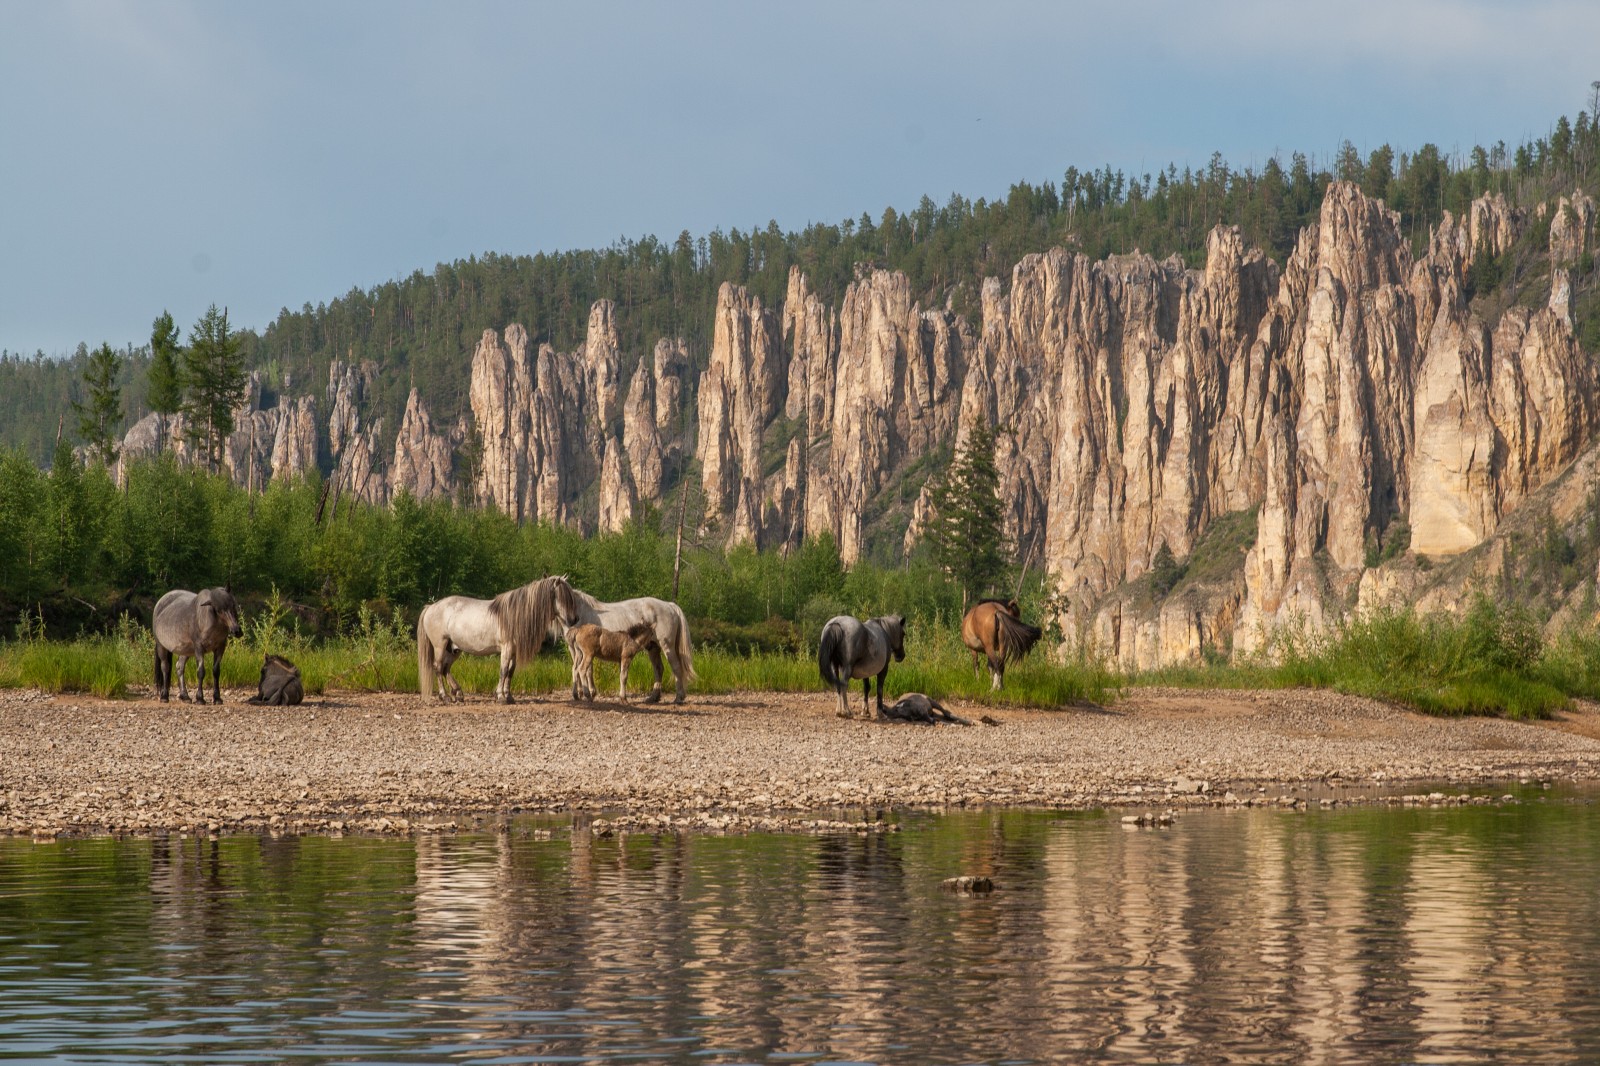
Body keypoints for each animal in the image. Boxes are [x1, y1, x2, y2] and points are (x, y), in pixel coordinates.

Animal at [416, 576, 572, 701]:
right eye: (563, 597)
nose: (572, 620)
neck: (514, 615)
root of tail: (431, 607)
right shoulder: (506, 648)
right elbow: (503, 670)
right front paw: (501, 696)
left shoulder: (514, 651)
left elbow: (510, 671)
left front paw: (509, 696)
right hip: (440, 646)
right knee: (438, 668)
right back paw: (445, 696)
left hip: (453, 649)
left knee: (446, 668)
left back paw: (458, 693)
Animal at [553, 576, 697, 701]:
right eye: (558, 597)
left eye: (566, 598)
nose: (571, 620)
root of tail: (670, 605)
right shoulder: (578, 650)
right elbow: (580, 669)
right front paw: (583, 693)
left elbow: (589, 670)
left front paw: (589, 693)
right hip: (654, 647)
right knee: (659, 668)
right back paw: (655, 698)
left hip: (667, 647)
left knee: (676, 667)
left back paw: (678, 697)